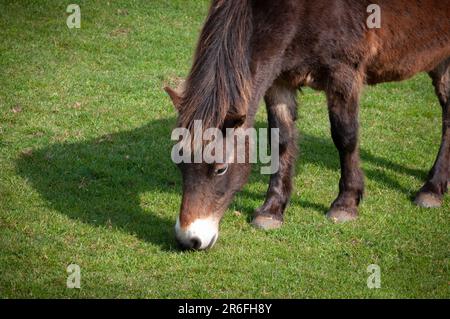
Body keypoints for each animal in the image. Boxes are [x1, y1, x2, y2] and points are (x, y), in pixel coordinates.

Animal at [166, 0, 450, 250]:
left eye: (220, 169)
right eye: (179, 164)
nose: (190, 240)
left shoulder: (343, 74)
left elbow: (345, 137)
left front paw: (346, 204)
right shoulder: (280, 80)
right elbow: (281, 139)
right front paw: (272, 210)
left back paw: (432, 189)